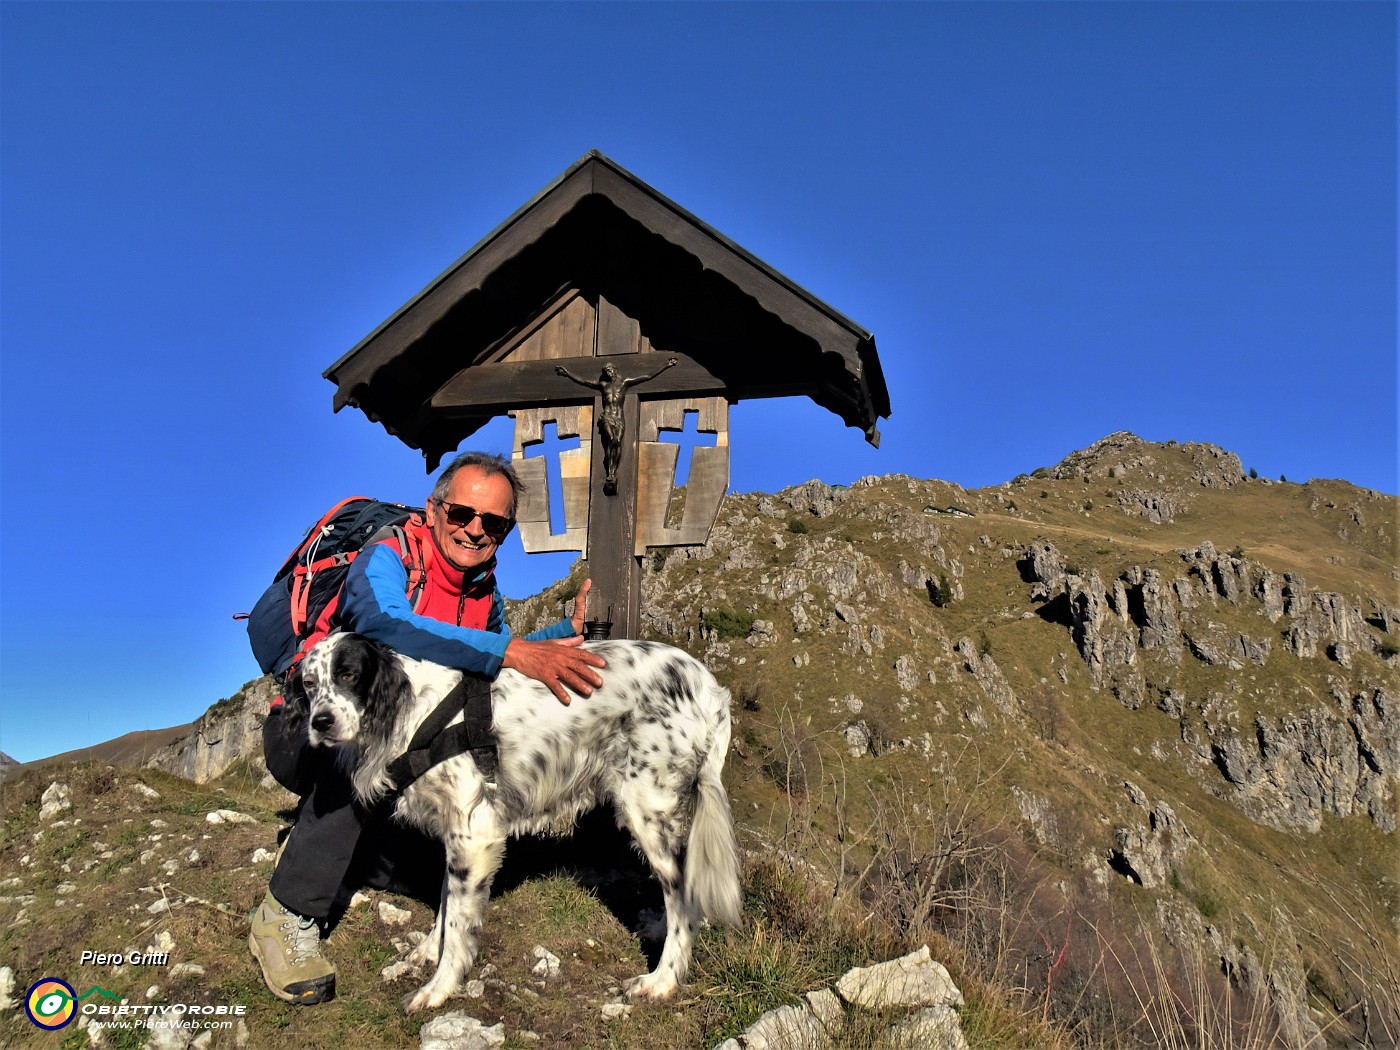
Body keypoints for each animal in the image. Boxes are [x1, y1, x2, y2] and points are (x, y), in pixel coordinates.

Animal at [298, 632, 744, 1013]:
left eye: (349, 674)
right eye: (308, 683)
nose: (320, 722)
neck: (414, 711)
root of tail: (708, 684)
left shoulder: (474, 834)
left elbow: (458, 925)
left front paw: (439, 988)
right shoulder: (457, 834)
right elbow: (446, 902)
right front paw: (428, 949)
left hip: (647, 810)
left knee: (683, 900)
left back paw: (662, 980)